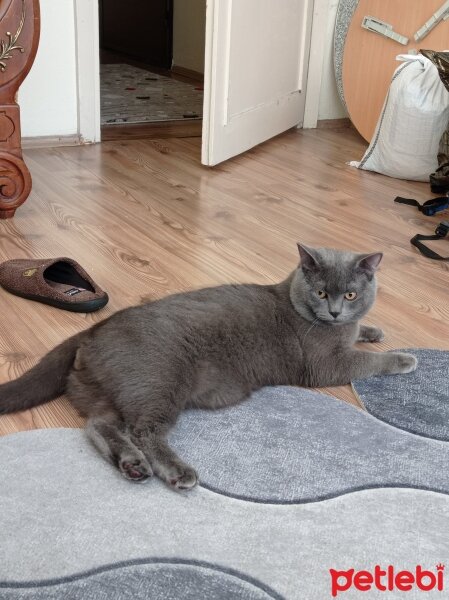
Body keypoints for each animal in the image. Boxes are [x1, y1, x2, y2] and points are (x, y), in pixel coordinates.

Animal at [0, 246, 416, 490]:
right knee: (142, 430)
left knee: (97, 425)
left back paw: (131, 465)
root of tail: (91, 330)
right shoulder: (325, 364)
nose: (334, 312)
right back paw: (175, 471)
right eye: (320, 292)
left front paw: (373, 330)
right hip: (161, 382)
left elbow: (361, 332)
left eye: (351, 294)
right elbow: (367, 362)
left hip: (111, 392)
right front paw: (405, 359)